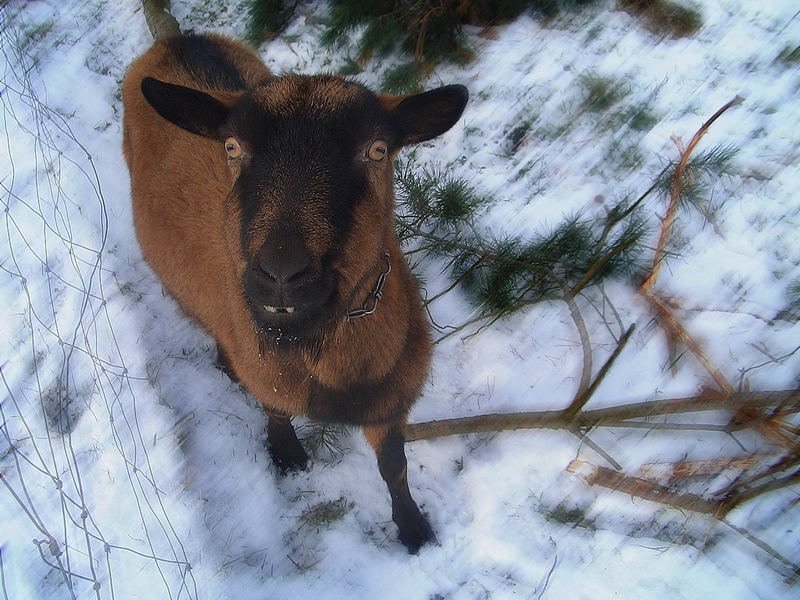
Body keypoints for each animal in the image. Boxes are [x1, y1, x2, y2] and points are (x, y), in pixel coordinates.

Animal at [120, 35, 468, 552]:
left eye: (377, 149)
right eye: (232, 146)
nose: (281, 274)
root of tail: (177, 39)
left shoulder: (390, 401)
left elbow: (394, 467)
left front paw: (413, 529)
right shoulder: (266, 370)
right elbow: (275, 411)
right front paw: (286, 454)